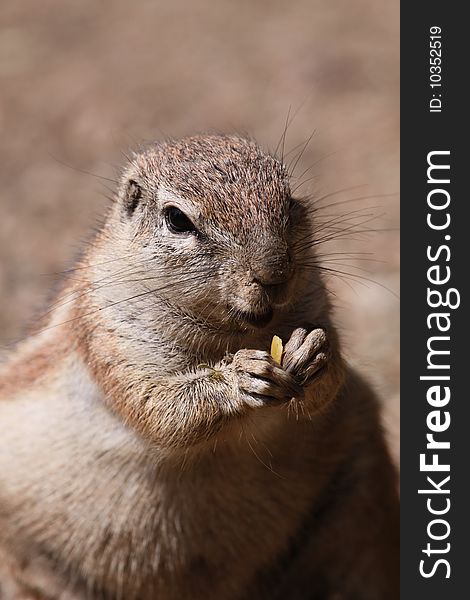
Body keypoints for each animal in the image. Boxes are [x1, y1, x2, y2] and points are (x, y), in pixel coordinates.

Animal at [0, 136, 400, 600]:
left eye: (290, 200)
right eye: (177, 219)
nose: (274, 273)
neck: (235, 332)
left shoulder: (315, 298)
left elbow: (327, 378)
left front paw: (315, 354)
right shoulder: (108, 332)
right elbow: (158, 408)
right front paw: (238, 379)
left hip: (360, 495)